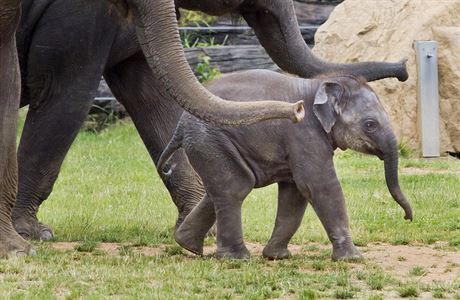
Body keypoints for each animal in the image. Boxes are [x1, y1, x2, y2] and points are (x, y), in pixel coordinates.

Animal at [12, 0, 406, 240]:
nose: (403, 68)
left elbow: (151, 97)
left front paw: (202, 227)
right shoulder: (79, 15)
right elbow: (66, 94)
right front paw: (33, 232)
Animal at [158, 69, 414, 260]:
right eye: (370, 124)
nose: (407, 218)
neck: (319, 85)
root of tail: (181, 125)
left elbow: (295, 193)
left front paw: (276, 256)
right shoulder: (304, 133)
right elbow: (318, 185)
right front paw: (353, 259)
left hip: (209, 146)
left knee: (221, 189)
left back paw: (188, 245)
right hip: (211, 141)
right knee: (235, 188)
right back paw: (236, 258)